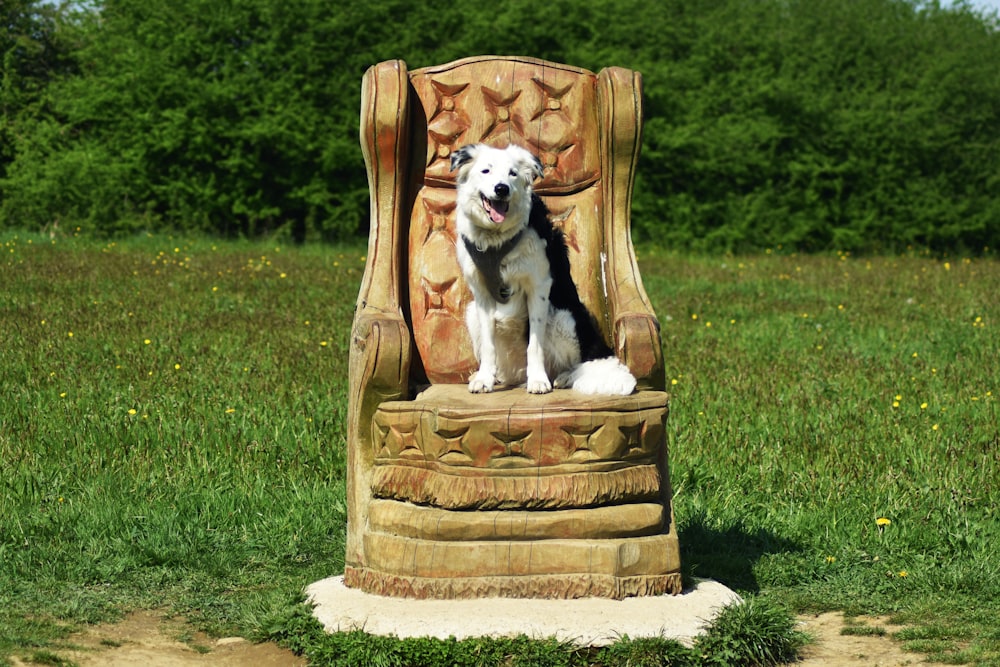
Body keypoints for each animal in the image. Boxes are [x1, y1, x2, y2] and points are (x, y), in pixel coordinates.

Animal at [452, 145, 636, 396]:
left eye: (513, 173)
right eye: (485, 171)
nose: (501, 189)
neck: (497, 239)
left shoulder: (538, 287)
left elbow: (534, 343)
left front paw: (538, 381)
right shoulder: (481, 292)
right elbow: (489, 346)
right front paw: (484, 379)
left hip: (563, 317)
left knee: (578, 363)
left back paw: (564, 377)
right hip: (472, 313)